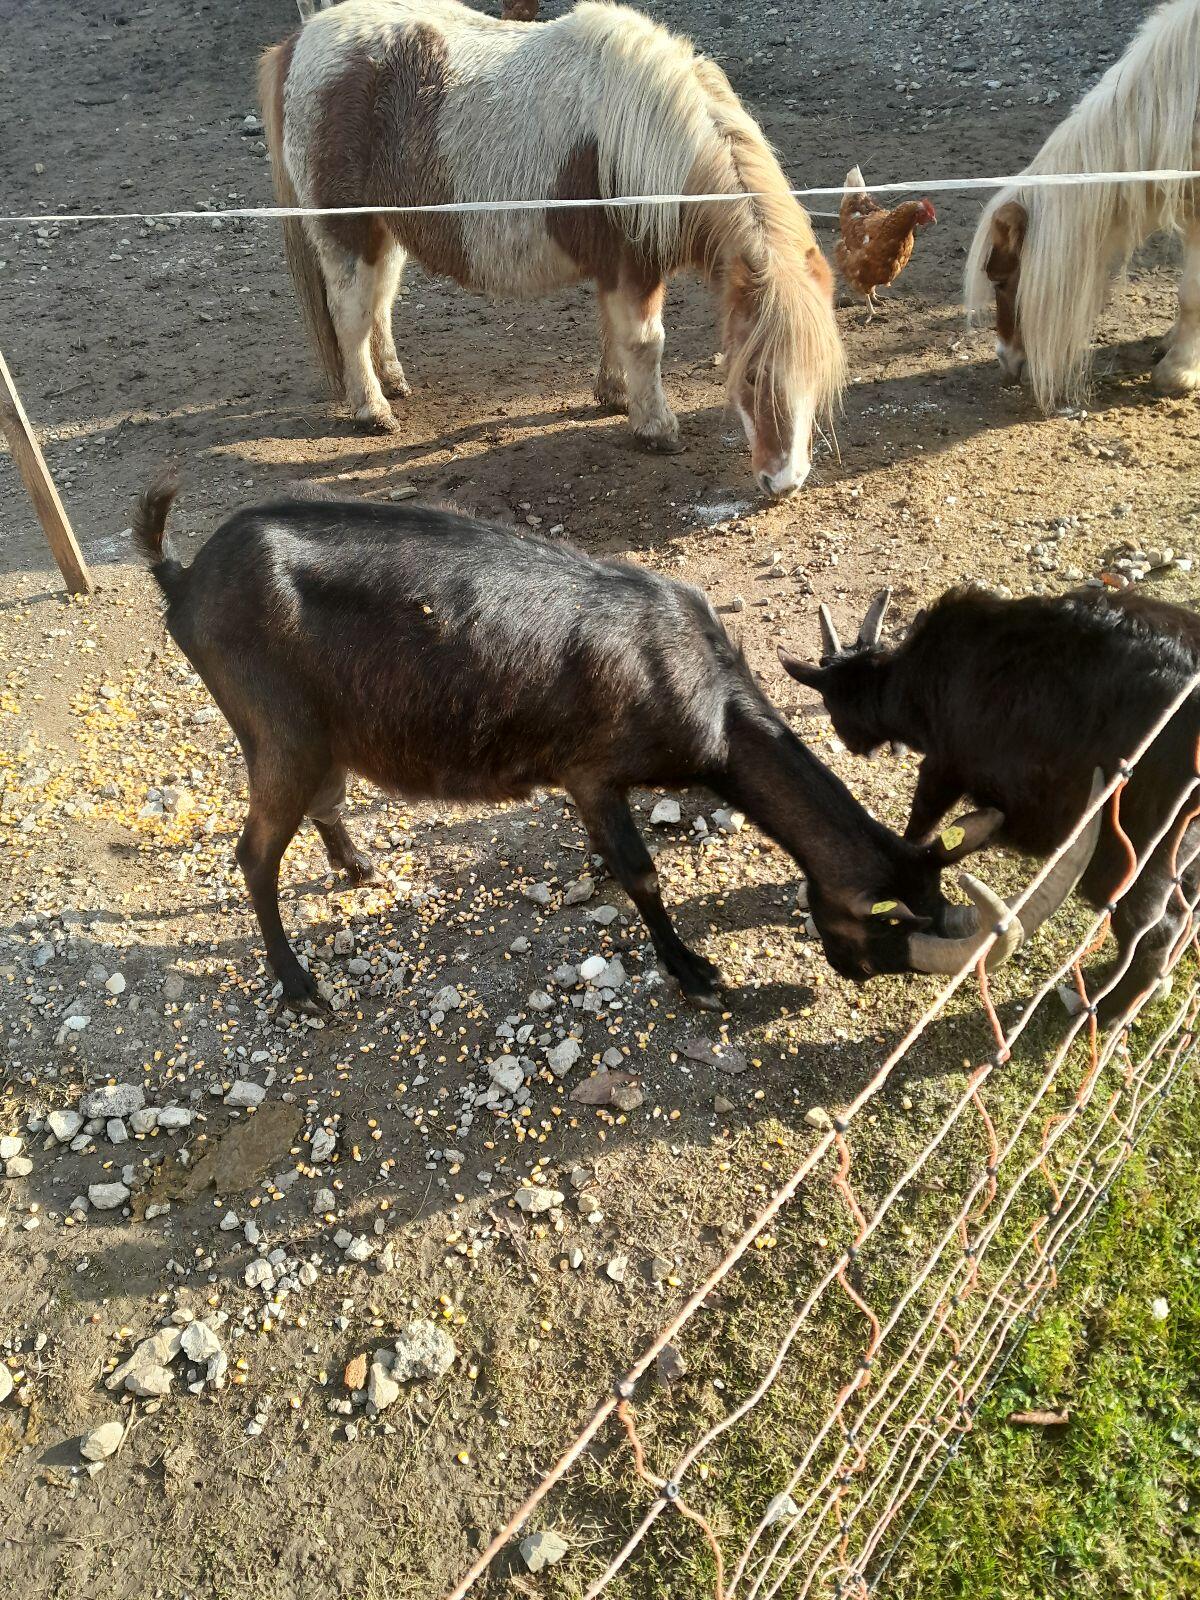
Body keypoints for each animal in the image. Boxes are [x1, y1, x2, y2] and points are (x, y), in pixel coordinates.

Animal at [133, 471, 1094, 1015]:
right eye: (887, 922)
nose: (849, 977)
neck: (702, 693)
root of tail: (181, 578)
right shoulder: (589, 769)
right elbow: (642, 873)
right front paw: (692, 969)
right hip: (277, 728)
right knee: (255, 853)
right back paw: (298, 985)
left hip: (320, 730)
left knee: (324, 802)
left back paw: (357, 865)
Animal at [780, 585, 1200, 1023]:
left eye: (831, 702)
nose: (852, 744)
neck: (916, 679)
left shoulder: (944, 767)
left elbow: (921, 821)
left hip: (1136, 848)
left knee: (1152, 928)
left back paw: (1115, 1009)